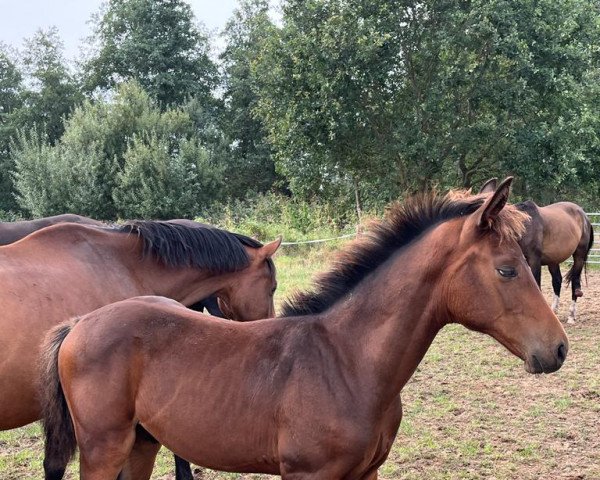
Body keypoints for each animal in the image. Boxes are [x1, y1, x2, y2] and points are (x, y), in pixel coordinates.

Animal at [41, 177, 568, 480]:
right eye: (507, 270)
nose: (558, 348)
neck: (349, 361)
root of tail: (78, 325)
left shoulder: (365, 475)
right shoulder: (307, 475)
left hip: (142, 444)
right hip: (103, 448)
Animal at [480, 178, 592, 324]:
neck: (524, 228)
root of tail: (584, 215)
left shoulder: (534, 260)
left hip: (579, 255)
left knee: (575, 282)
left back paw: (571, 316)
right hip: (553, 260)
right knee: (557, 280)